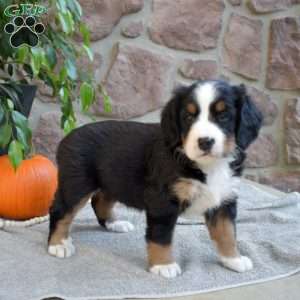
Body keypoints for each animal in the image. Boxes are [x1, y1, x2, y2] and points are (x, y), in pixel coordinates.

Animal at [47, 80, 262, 278]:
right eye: (188, 116)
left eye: (224, 115)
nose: (205, 141)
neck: (209, 166)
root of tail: (69, 136)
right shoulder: (163, 200)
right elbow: (161, 235)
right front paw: (163, 265)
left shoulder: (224, 200)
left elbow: (227, 232)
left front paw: (233, 259)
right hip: (76, 184)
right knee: (61, 210)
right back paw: (58, 244)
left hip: (113, 180)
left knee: (100, 201)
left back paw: (114, 224)